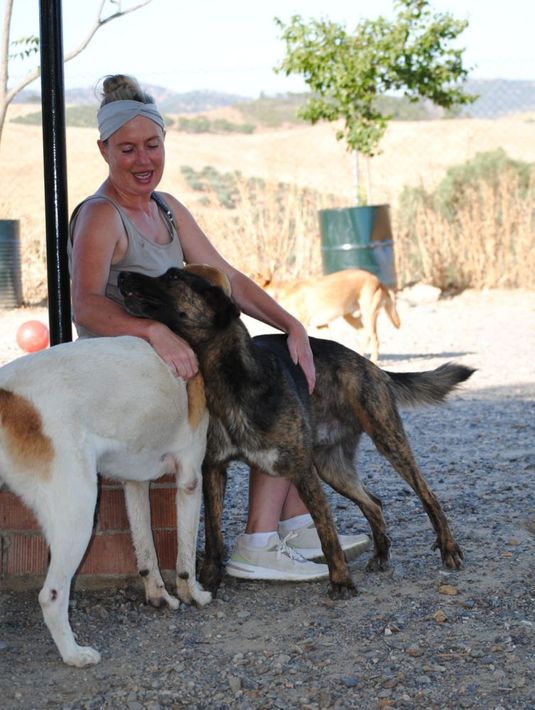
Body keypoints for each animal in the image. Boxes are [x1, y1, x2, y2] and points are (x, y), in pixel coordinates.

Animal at [0, 335, 211, 666]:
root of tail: (7, 395)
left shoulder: (135, 483)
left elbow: (146, 549)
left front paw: (159, 596)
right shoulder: (191, 478)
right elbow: (186, 556)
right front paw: (195, 594)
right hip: (78, 515)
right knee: (51, 596)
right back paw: (75, 655)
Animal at [258, 268, 401, 362]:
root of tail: (378, 280)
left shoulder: (302, 326)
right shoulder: (322, 326)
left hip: (369, 315)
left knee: (375, 339)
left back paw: (374, 360)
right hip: (349, 316)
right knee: (364, 334)